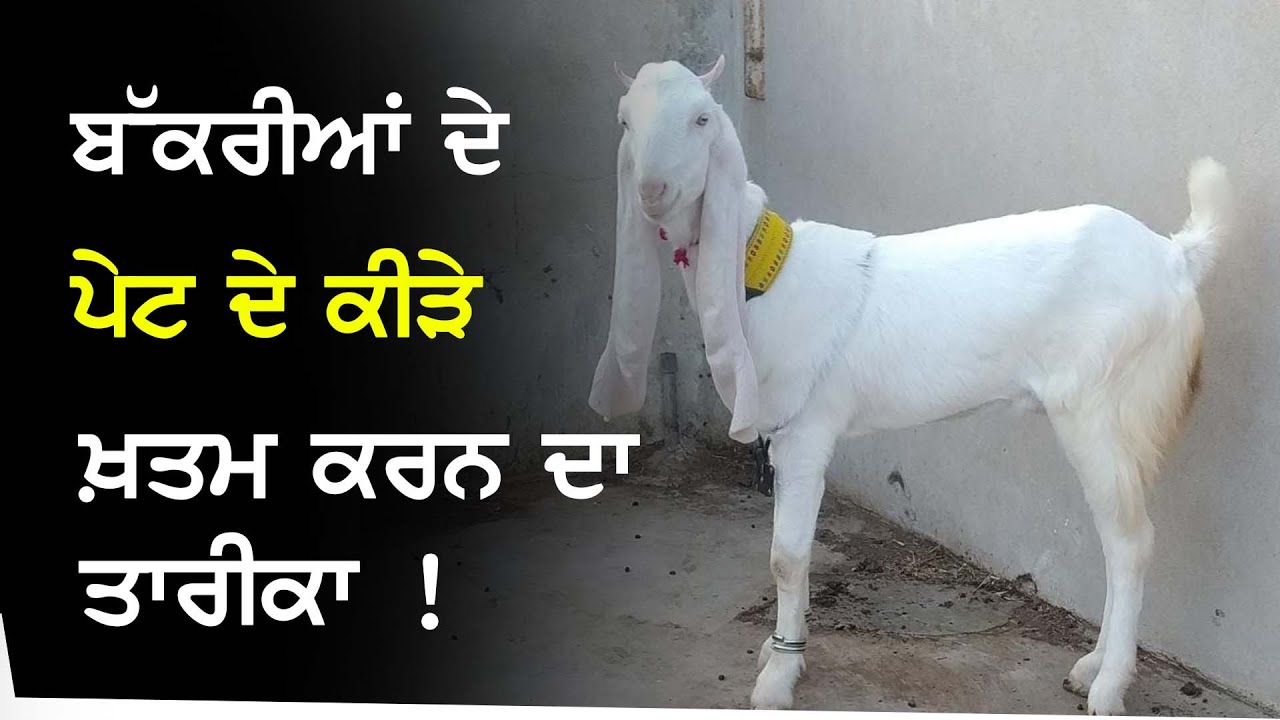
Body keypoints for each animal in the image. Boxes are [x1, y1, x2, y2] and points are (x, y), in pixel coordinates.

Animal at [589, 57, 1233, 715]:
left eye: (701, 119)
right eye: (624, 120)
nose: (652, 192)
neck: (765, 279)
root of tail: (1176, 258)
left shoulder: (806, 431)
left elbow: (788, 557)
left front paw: (779, 676)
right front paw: (778, 647)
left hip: (1102, 402)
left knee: (1130, 541)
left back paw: (1108, 686)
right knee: (1113, 537)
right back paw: (1091, 666)